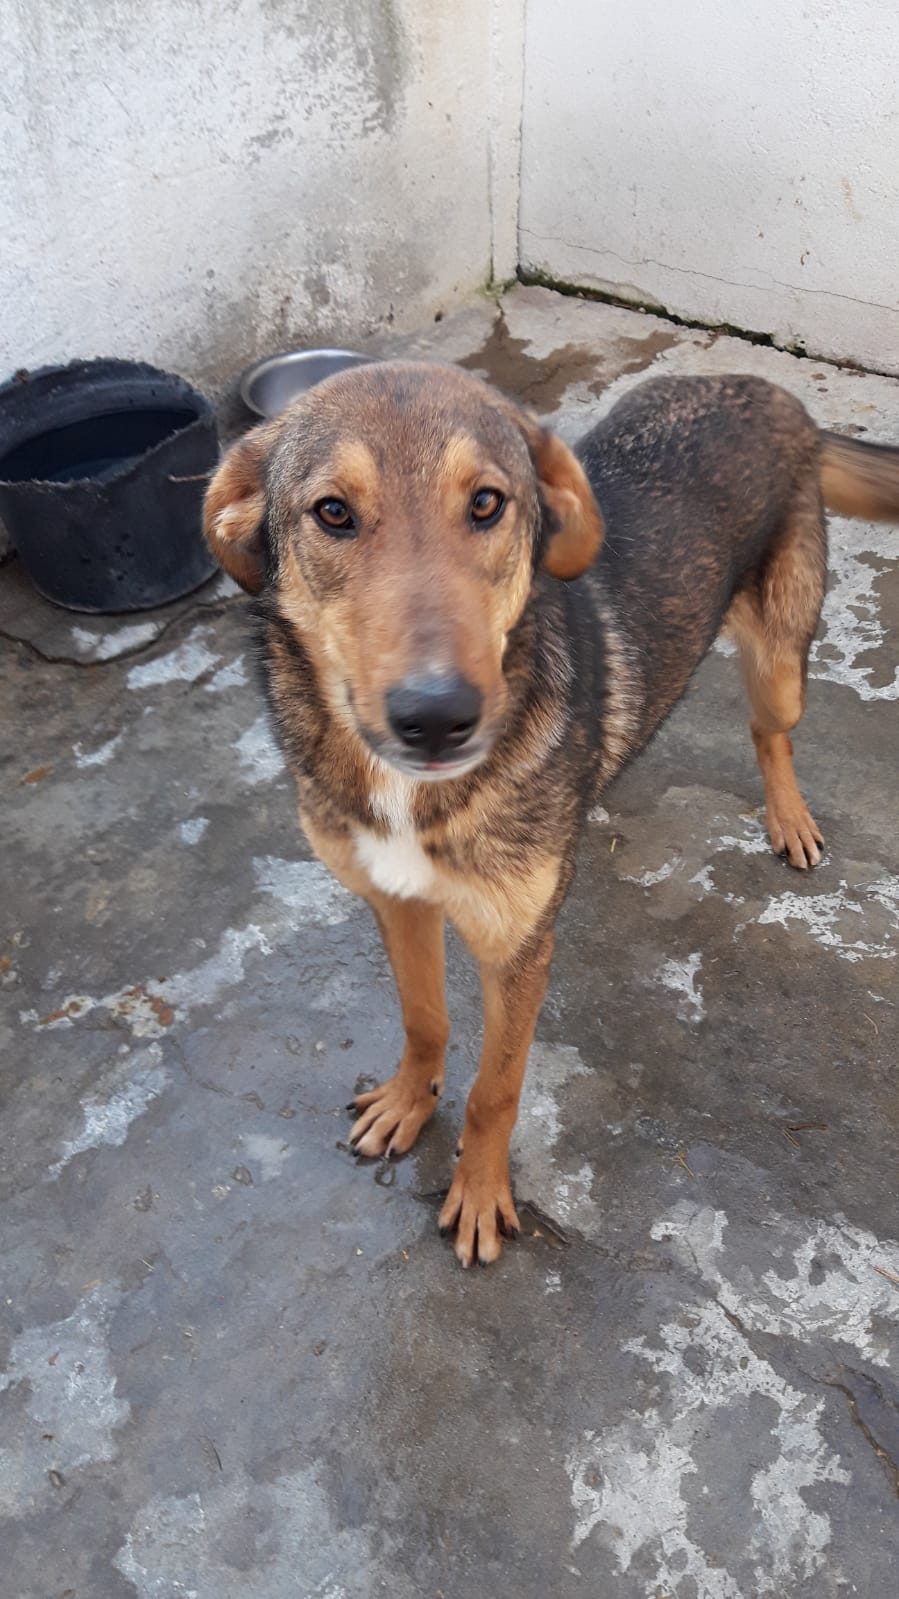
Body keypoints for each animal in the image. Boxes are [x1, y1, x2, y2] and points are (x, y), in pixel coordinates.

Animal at [204, 362, 899, 1267]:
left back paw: (786, 818)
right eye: (331, 513)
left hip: (780, 657)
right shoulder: (394, 901)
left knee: (768, 730)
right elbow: (422, 1018)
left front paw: (478, 1191)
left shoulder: (518, 951)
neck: (412, 792)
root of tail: (764, 388)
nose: (437, 717)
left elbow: (495, 1089)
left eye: (486, 503)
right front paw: (408, 1099)